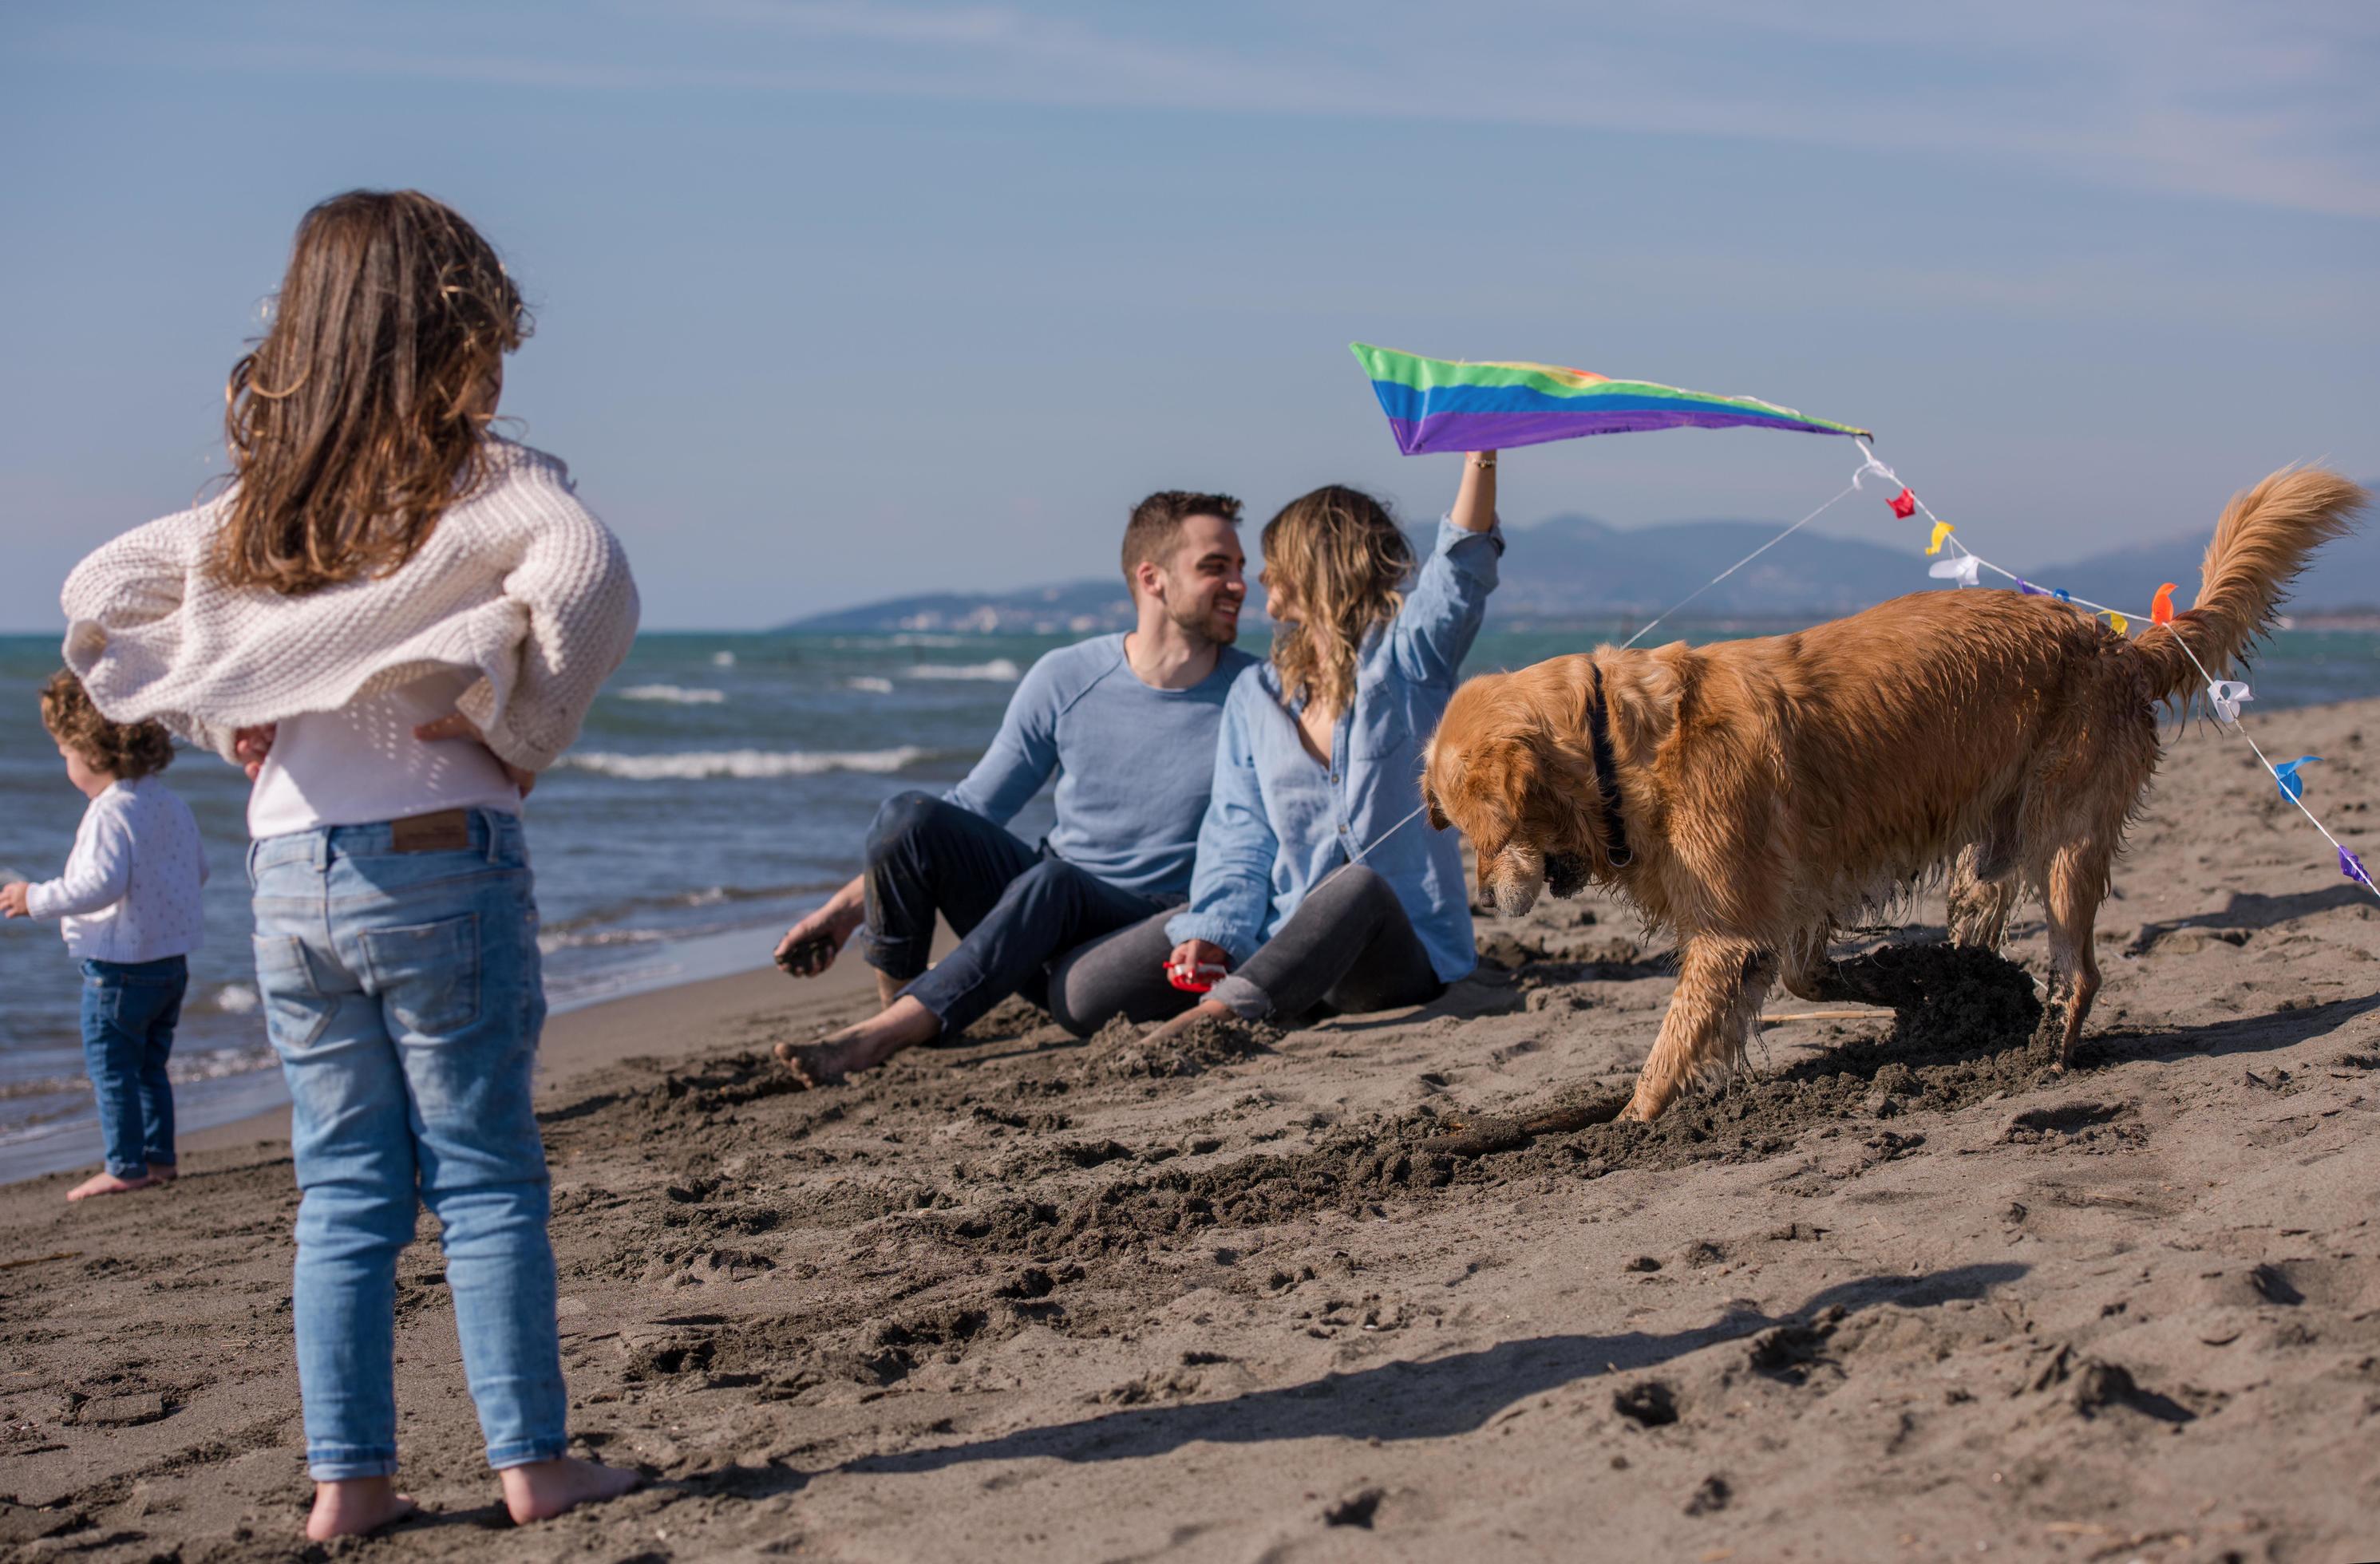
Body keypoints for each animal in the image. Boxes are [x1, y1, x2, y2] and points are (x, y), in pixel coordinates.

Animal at [1409, 466, 2361, 1124]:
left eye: (1485, 837)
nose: (1486, 902)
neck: (1618, 746)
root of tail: (2118, 642)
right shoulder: (1785, 908)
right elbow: (1809, 973)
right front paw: (1894, 982)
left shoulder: (1727, 931)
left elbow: (1672, 1046)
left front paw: (1628, 1126)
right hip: (1990, 852)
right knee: (1986, 935)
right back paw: (1972, 1005)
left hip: (2065, 839)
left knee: (2081, 969)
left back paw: (2044, 1054)